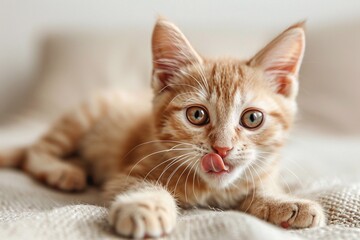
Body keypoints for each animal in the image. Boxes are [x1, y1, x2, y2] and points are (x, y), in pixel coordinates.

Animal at [0, 18, 326, 238]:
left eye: (252, 119)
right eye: (197, 115)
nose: (222, 149)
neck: (209, 189)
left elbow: (262, 186)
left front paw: (287, 202)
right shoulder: (127, 172)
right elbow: (145, 186)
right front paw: (146, 208)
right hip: (84, 115)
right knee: (34, 153)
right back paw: (63, 171)